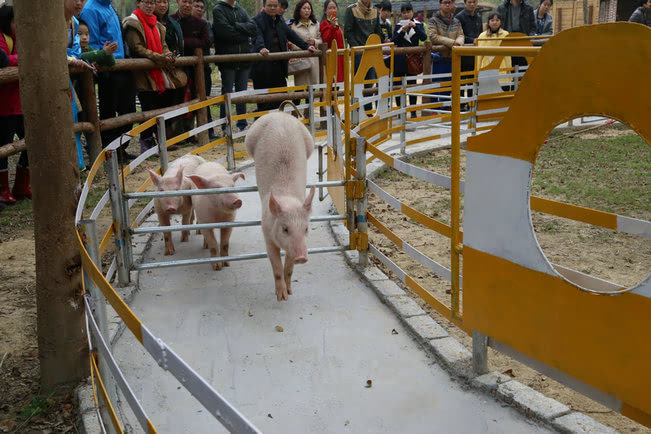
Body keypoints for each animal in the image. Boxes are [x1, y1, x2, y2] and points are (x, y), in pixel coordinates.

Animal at [244, 112, 316, 302]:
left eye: (306, 229)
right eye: (285, 229)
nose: (302, 257)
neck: (287, 199)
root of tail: (280, 113)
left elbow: (289, 269)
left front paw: (290, 292)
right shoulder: (266, 233)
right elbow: (276, 267)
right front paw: (281, 298)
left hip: (309, 141)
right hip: (250, 138)